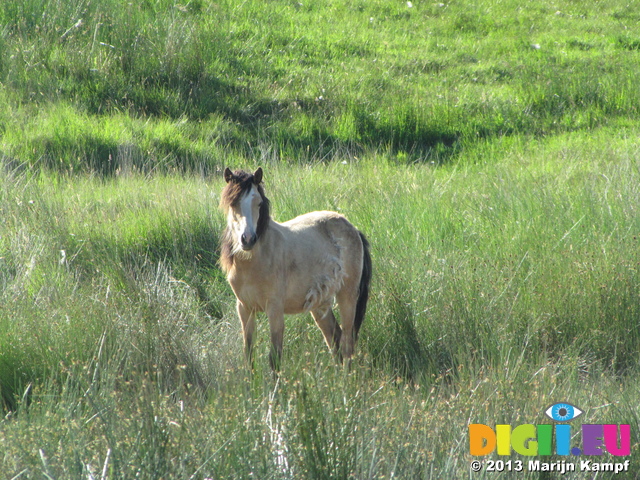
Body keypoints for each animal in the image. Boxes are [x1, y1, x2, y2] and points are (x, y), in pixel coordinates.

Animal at [220, 167, 372, 370]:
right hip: (320, 304)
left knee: (347, 342)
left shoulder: (275, 310)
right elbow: (249, 356)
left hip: (347, 296)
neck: (255, 260)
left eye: (258, 203)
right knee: (334, 338)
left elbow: (275, 358)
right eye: (233, 203)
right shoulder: (245, 309)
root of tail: (354, 229)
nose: (248, 239)